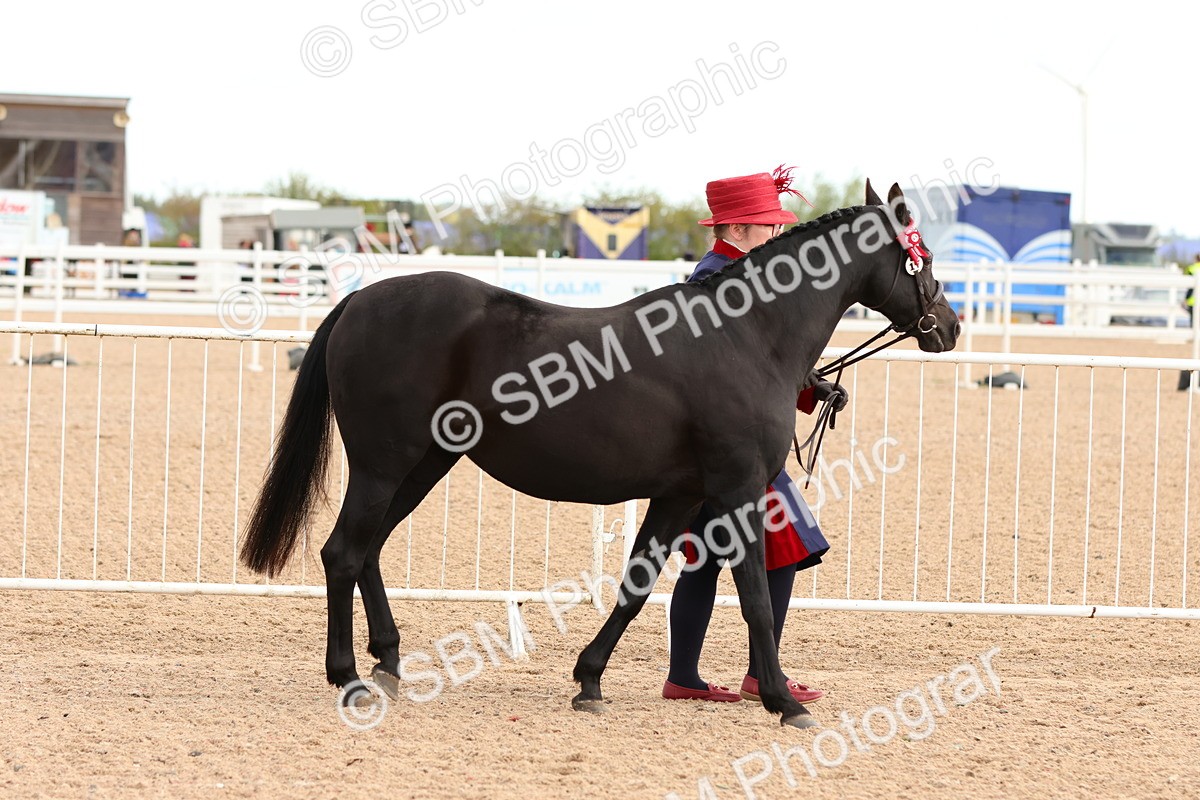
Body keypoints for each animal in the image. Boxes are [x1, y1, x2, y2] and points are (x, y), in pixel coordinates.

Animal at [238, 181, 960, 728]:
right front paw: (784, 702)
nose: (949, 326)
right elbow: (754, 594)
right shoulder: (737, 489)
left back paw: (388, 661)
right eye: (919, 255)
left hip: (422, 466)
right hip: (385, 464)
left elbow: (637, 587)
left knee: (369, 551)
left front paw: (589, 680)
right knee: (342, 552)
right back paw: (350, 677)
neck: (745, 335)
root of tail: (360, 299)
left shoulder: (680, 494)